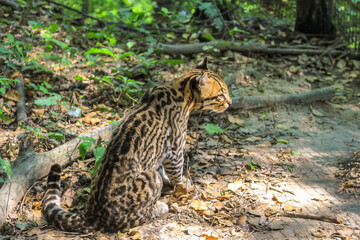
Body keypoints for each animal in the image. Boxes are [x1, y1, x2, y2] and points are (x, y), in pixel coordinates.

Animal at [43, 57, 233, 232]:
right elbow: (176, 171)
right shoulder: (175, 147)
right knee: (138, 216)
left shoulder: (160, 150)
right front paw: (182, 185)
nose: (230, 102)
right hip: (150, 180)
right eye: (221, 95)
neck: (180, 89)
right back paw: (159, 207)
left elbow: (162, 167)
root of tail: (93, 215)